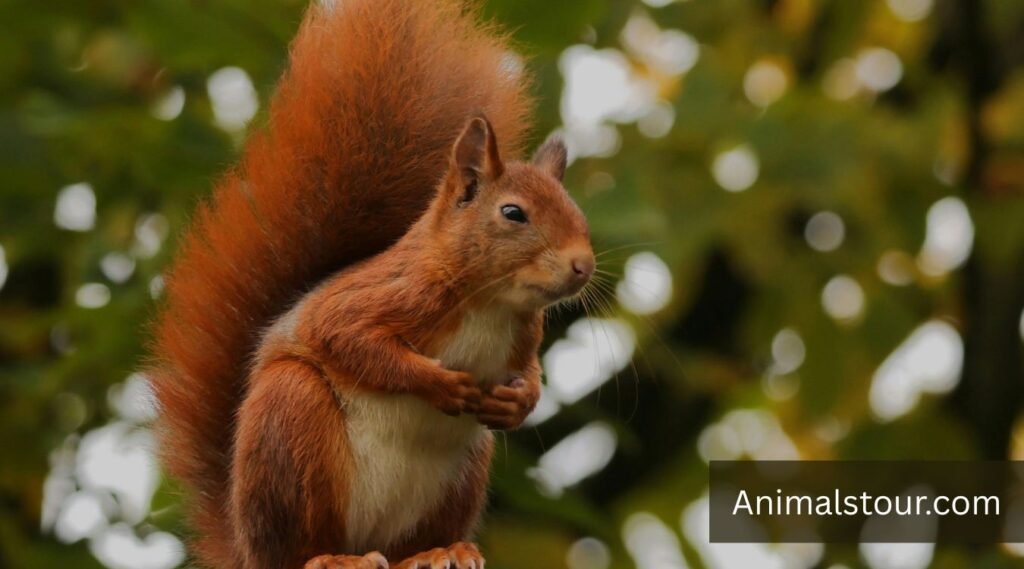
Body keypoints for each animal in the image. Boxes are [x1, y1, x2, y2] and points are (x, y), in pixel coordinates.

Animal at [149, 1, 594, 568]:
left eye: (578, 212)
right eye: (513, 213)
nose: (583, 266)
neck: (491, 303)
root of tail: (248, 549)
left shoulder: (524, 337)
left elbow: (530, 375)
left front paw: (518, 403)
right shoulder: (388, 295)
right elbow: (349, 337)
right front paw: (438, 382)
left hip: (461, 474)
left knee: (410, 542)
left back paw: (439, 550)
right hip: (292, 422)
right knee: (302, 545)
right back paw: (333, 558)